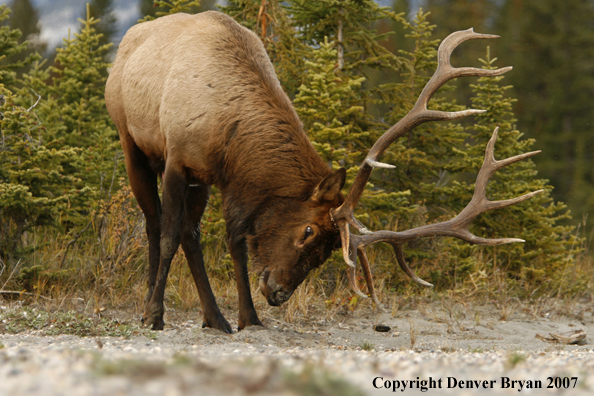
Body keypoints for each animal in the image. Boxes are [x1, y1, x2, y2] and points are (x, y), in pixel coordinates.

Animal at [104, 10, 540, 332]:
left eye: (330, 250)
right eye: (308, 230)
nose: (279, 294)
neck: (229, 136)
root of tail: (128, 39)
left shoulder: (220, 180)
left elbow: (234, 243)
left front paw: (248, 319)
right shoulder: (179, 159)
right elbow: (169, 234)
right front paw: (154, 315)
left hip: (196, 181)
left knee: (191, 235)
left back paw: (215, 319)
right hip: (132, 144)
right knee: (153, 224)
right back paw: (151, 303)